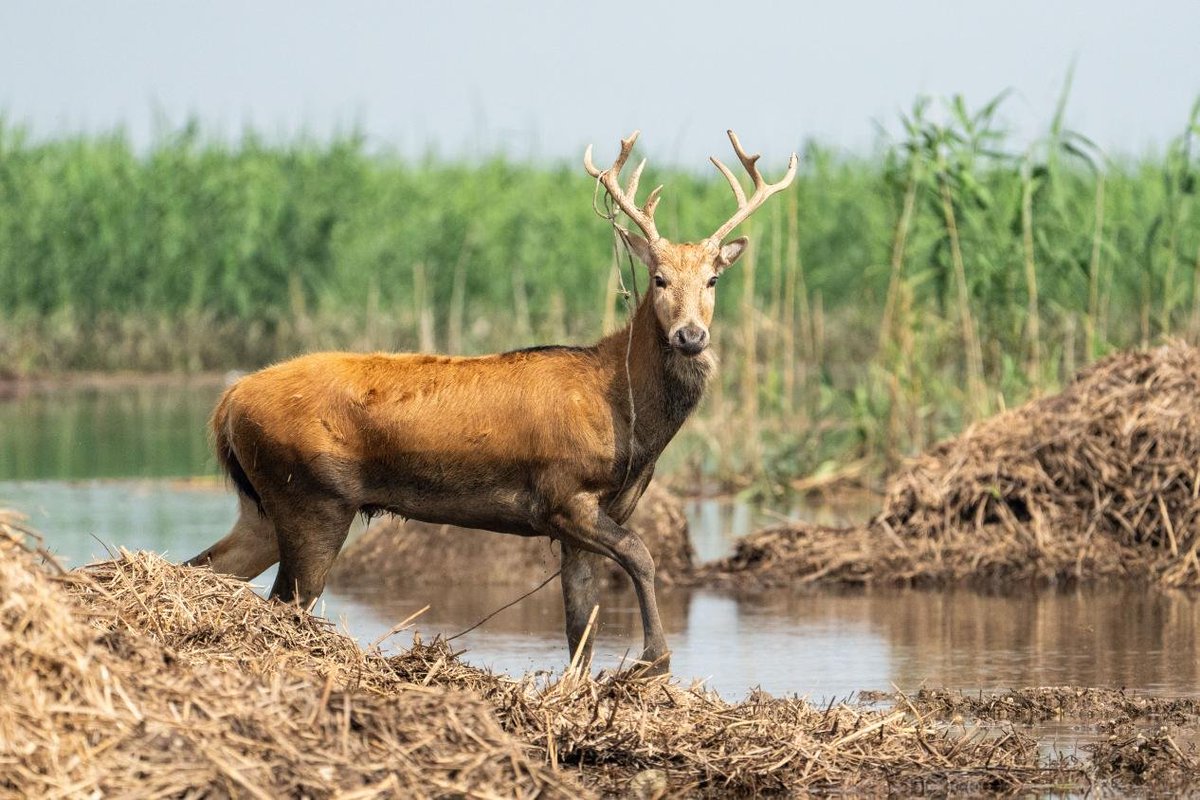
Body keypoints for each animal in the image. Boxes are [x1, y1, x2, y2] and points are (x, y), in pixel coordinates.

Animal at [186, 130, 796, 675]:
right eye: (659, 277)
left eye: (714, 280)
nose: (691, 335)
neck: (629, 419)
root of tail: (227, 403)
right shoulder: (563, 492)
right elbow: (641, 558)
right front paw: (654, 661)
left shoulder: (581, 520)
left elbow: (581, 626)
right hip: (313, 495)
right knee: (286, 600)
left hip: (265, 503)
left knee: (208, 565)